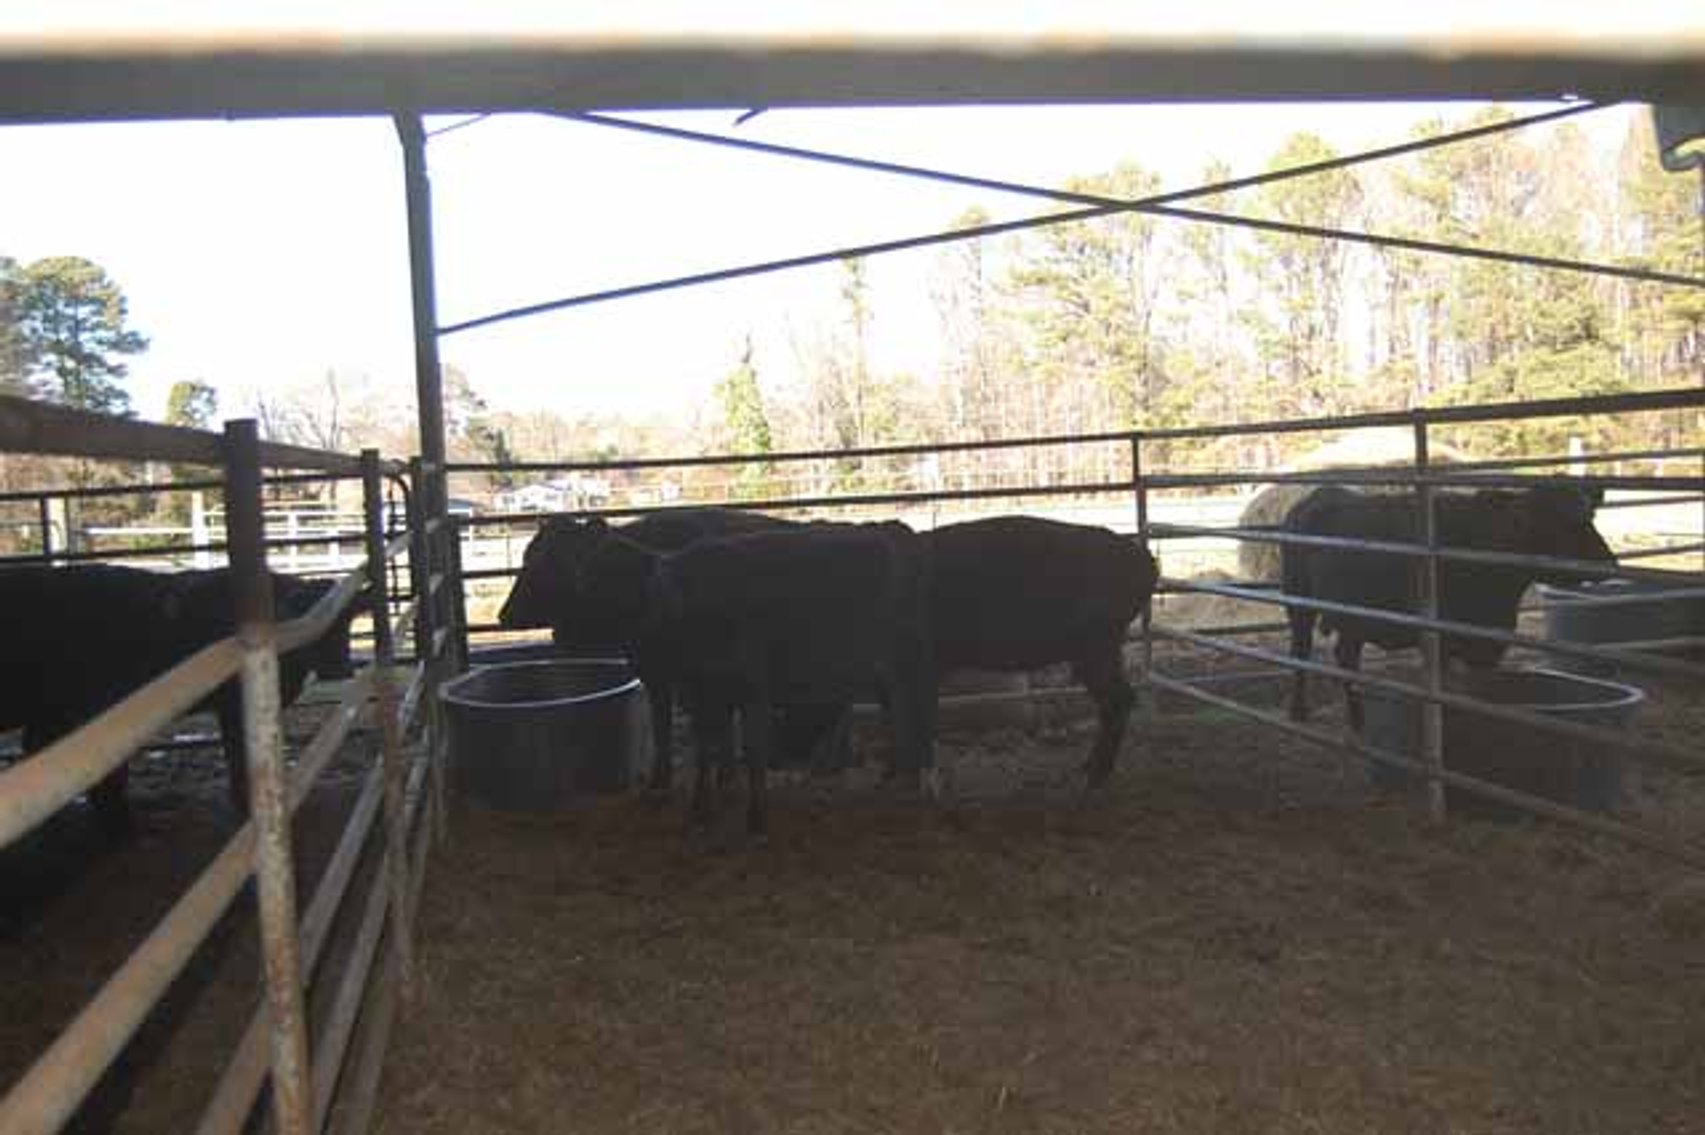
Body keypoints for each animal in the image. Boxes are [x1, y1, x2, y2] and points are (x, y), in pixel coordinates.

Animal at [577, 521, 934, 836]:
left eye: (611, 584)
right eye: (588, 577)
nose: (573, 631)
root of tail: (891, 528)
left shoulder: (753, 690)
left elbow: (752, 751)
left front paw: (756, 818)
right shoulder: (700, 694)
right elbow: (705, 750)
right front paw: (700, 810)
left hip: (909, 660)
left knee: (918, 708)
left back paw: (923, 783)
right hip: (883, 669)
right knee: (895, 709)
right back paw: (896, 774)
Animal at [1281, 483, 1616, 729]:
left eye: (1590, 516)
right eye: (1555, 523)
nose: (1608, 560)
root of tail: (1319, 494)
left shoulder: (1489, 646)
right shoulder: (1440, 643)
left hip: (1355, 617)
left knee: (1346, 657)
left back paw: (1358, 720)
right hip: (1299, 603)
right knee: (1301, 651)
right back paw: (1298, 710)